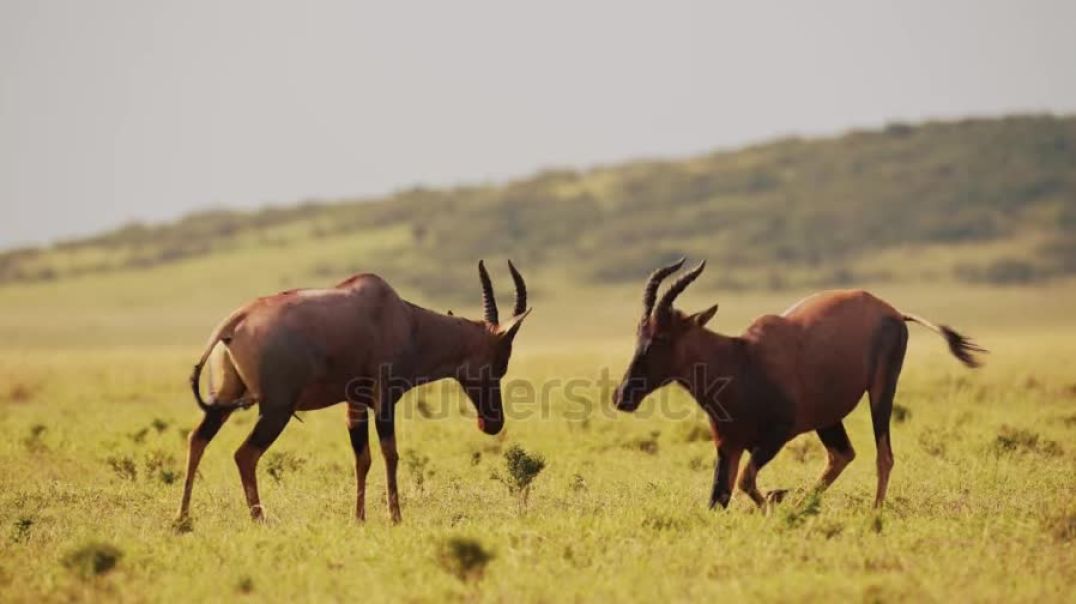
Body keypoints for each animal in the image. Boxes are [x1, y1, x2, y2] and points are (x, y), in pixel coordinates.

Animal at [178, 261, 531, 521]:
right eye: (500, 362)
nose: (492, 423)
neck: (399, 316)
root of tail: (235, 321)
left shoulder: (355, 403)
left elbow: (362, 457)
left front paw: (359, 517)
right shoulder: (384, 398)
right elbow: (390, 453)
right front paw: (395, 517)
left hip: (223, 400)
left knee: (198, 439)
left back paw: (182, 519)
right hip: (276, 409)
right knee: (244, 455)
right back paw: (259, 520)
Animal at [615, 259, 985, 508]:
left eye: (662, 336)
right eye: (638, 333)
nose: (622, 396)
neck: (742, 358)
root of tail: (893, 311)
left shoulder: (777, 436)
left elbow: (746, 482)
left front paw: (775, 500)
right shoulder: (728, 446)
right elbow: (720, 498)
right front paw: (779, 500)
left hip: (882, 390)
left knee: (884, 455)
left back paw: (873, 513)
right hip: (827, 418)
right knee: (842, 455)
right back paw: (804, 505)